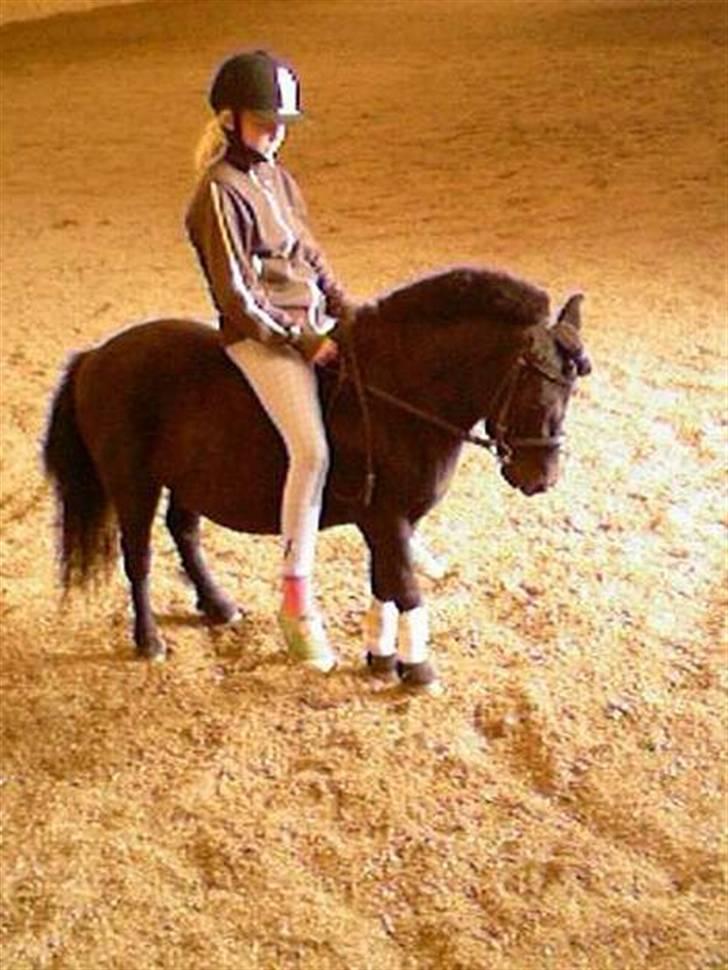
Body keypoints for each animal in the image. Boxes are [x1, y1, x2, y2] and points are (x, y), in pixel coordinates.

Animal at [43, 266, 591, 689]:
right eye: (536, 391)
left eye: (571, 391)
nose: (541, 478)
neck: (397, 397)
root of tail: (96, 356)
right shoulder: (386, 519)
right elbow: (407, 588)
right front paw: (419, 671)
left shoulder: (391, 525)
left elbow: (384, 582)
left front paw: (381, 660)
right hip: (132, 481)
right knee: (138, 556)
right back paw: (150, 640)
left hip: (187, 480)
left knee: (185, 532)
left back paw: (218, 606)